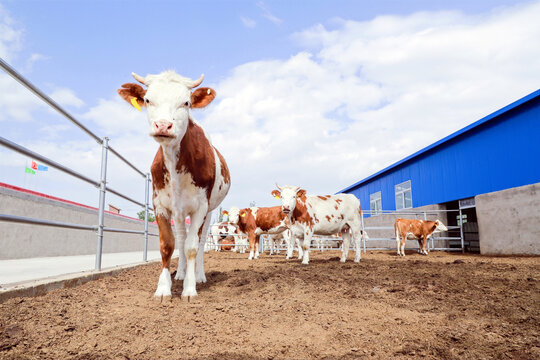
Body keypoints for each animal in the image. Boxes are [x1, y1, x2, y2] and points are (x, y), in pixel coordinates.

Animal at [118, 71, 230, 300]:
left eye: (186, 102)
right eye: (147, 100)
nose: (162, 125)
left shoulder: (201, 207)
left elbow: (192, 247)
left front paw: (189, 288)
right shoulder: (160, 204)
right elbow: (168, 245)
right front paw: (163, 288)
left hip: (210, 212)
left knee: (201, 241)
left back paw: (198, 275)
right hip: (179, 212)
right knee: (180, 238)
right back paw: (180, 273)